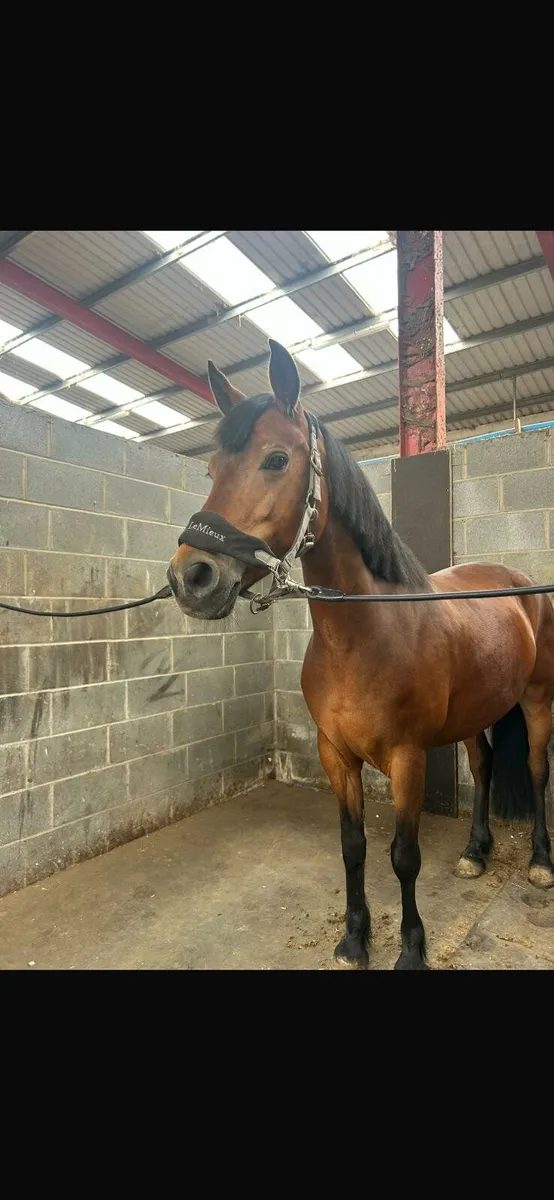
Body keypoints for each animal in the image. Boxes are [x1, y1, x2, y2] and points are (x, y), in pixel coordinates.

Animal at [167, 337, 554, 970]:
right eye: (211, 469)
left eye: (276, 459)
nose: (191, 577)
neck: (362, 636)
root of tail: (519, 582)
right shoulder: (335, 755)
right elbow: (353, 846)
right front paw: (354, 938)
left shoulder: (407, 759)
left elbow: (404, 855)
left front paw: (412, 949)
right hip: (477, 711)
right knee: (484, 766)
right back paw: (475, 852)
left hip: (538, 700)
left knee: (537, 770)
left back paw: (541, 862)